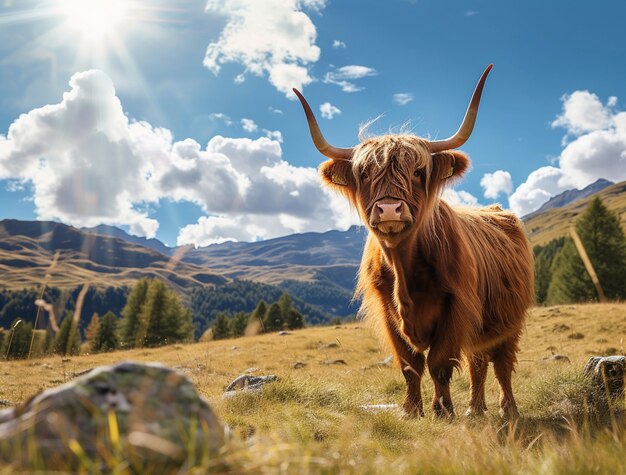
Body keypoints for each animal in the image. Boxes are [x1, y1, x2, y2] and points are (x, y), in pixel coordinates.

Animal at [292, 65, 532, 418]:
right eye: (364, 174)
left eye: (418, 171)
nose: (390, 209)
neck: (404, 268)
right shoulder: (387, 311)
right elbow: (410, 364)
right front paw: (411, 410)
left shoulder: (456, 306)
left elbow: (439, 364)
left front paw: (443, 410)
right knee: (478, 362)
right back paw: (475, 409)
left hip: (510, 321)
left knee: (501, 363)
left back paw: (508, 410)